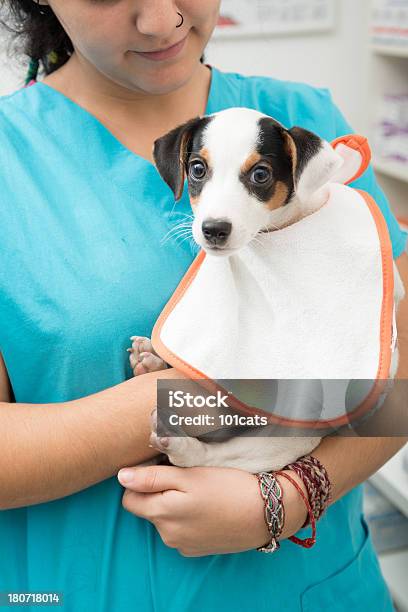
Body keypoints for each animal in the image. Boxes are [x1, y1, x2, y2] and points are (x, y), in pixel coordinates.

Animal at [126, 107, 404, 474]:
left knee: (217, 458)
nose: (214, 229)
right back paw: (152, 361)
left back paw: (180, 444)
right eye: (197, 169)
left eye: (260, 174)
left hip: (291, 431)